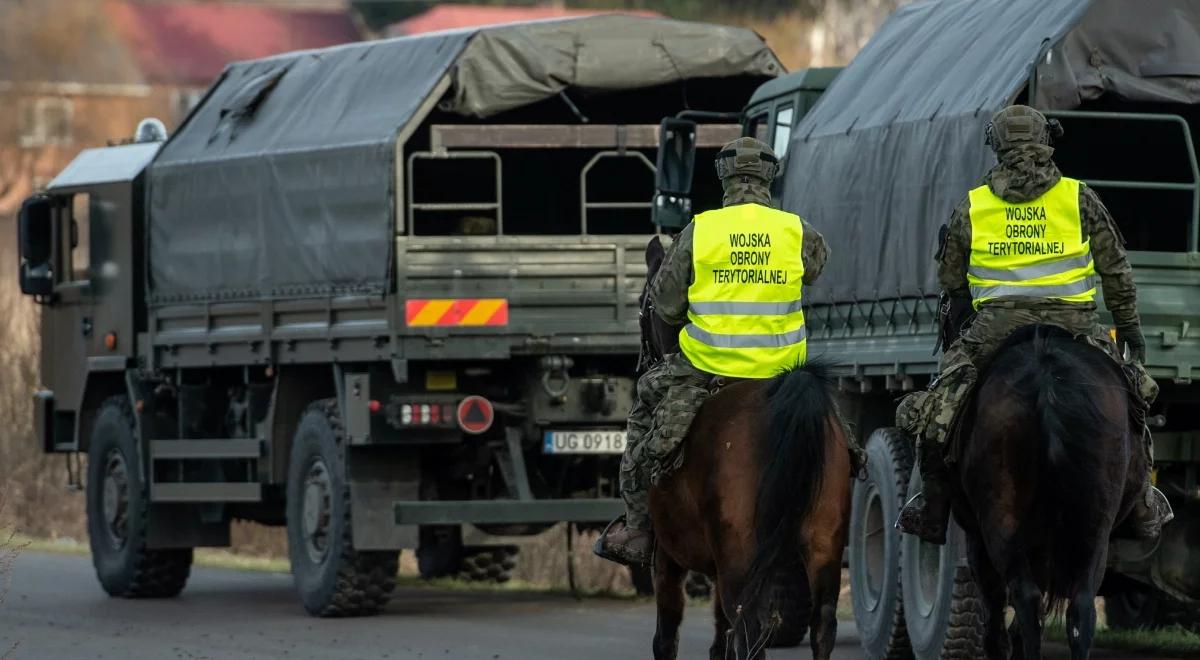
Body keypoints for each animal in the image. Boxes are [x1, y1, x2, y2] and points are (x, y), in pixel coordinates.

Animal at [638, 238, 854, 660]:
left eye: (643, 306)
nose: (643, 360)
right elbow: (718, 636)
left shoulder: (667, 558)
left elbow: (666, 635)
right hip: (823, 547)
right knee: (822, 625)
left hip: (740, 559)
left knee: (750, 632)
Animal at [950, 326, 1137, 660]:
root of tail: (1047, 382)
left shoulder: (976, 538)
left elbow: (995, 616)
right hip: (1093, 531)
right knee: (1080, 607)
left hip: (1001, 521)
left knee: (1024, 599)